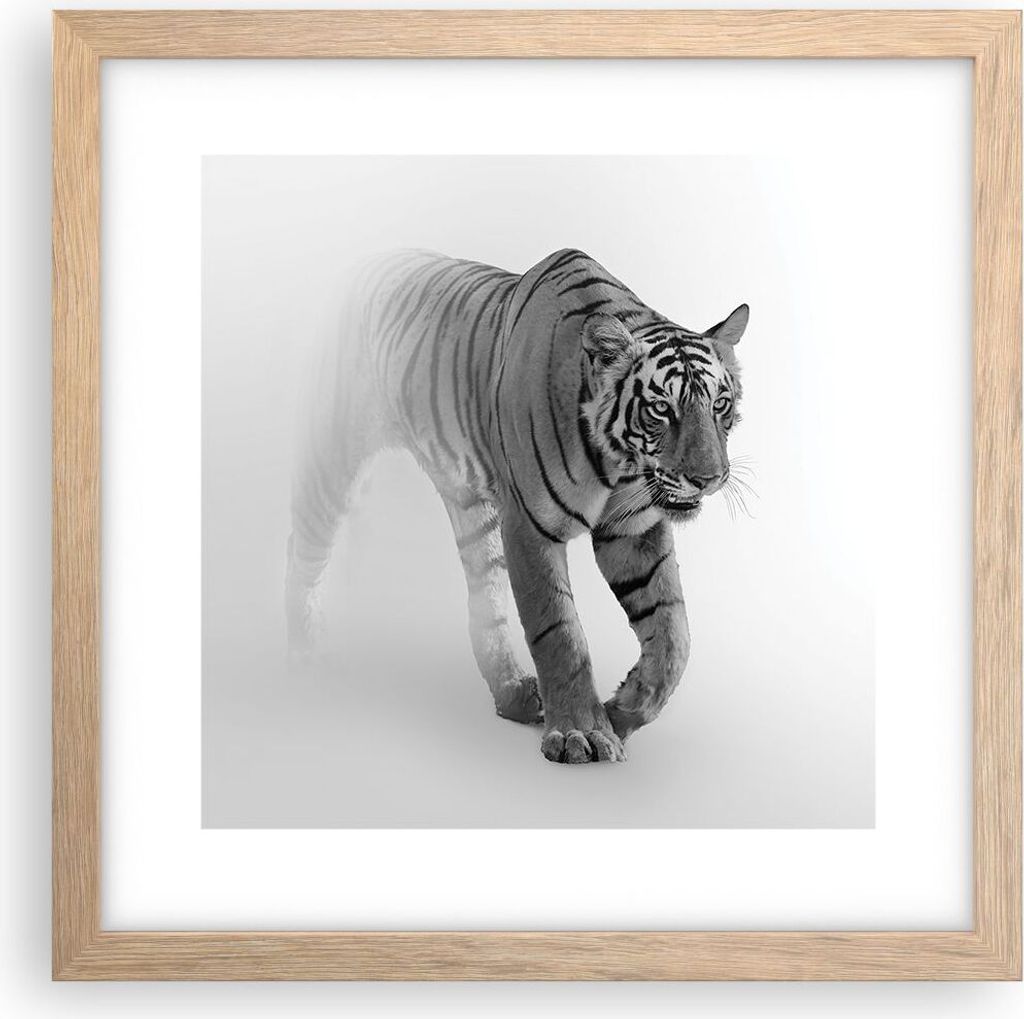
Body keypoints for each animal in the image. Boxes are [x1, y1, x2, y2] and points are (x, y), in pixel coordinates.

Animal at [285, 247, 749, 764]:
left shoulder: (632, 529)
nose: (708, 479)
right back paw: (303, 653)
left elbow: (673, 634)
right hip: (333, 453)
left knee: (484, 603)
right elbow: (560, 632)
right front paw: (582, 733)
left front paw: (623, 711)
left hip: (472, 510)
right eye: (662, 408)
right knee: (302, 549)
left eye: (720, 405)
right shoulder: (530, 525)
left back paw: (513, 694)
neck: (617, 463)